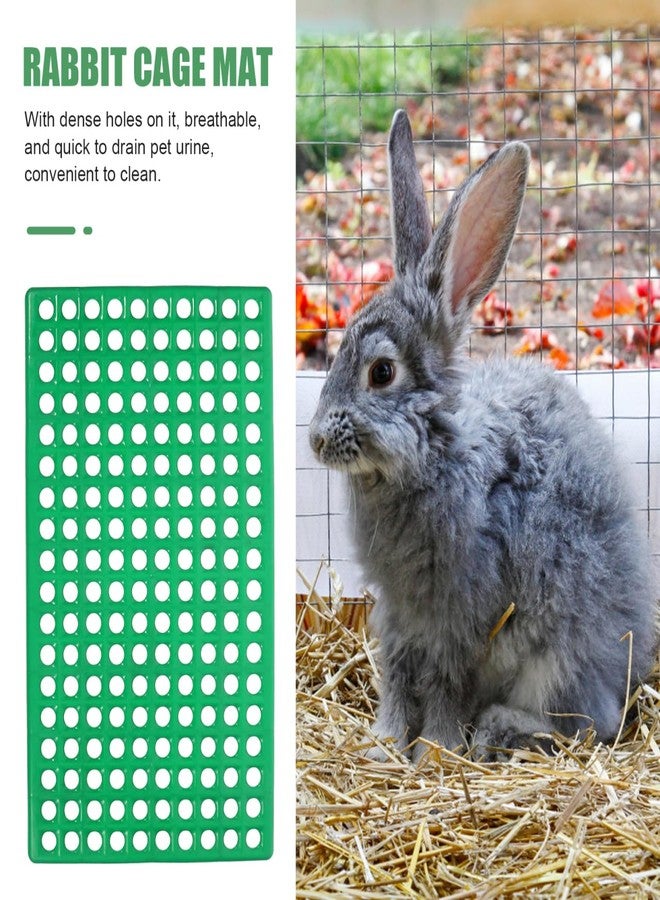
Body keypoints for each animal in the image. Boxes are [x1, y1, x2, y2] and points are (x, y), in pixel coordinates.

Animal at [308, 109, 657, 762]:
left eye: (381, 373)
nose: (316, 441)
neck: (434, 454)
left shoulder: (462, 616)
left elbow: (446, 684)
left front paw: (434, 751)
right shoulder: (397, 615)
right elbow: (397, 676)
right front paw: (384, 745)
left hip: (557, 659)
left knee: (588, 723)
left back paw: (499, 730)